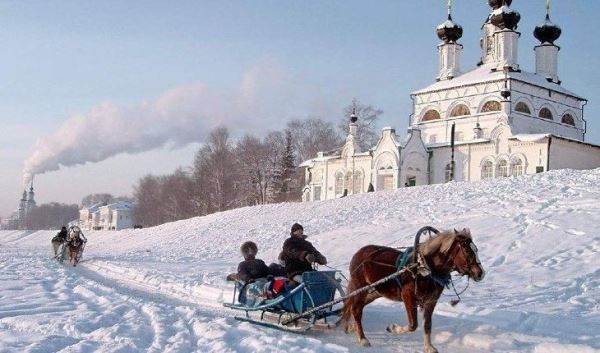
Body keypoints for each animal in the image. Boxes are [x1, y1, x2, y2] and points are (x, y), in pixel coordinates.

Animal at [342, 227, 482, 350]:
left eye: (476, 249)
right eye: (467, 251)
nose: (480, 273)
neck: (425, 268)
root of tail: (358, 254)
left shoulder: (431, 301)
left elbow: (427, 325)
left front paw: (428, 347)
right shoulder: (408, 297)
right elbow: (412, 325)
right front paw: (393, 328)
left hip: (374, 292)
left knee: (355, 307)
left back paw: (352, 327)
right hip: (361, 289)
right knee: (356, 310)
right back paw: (362, 338)